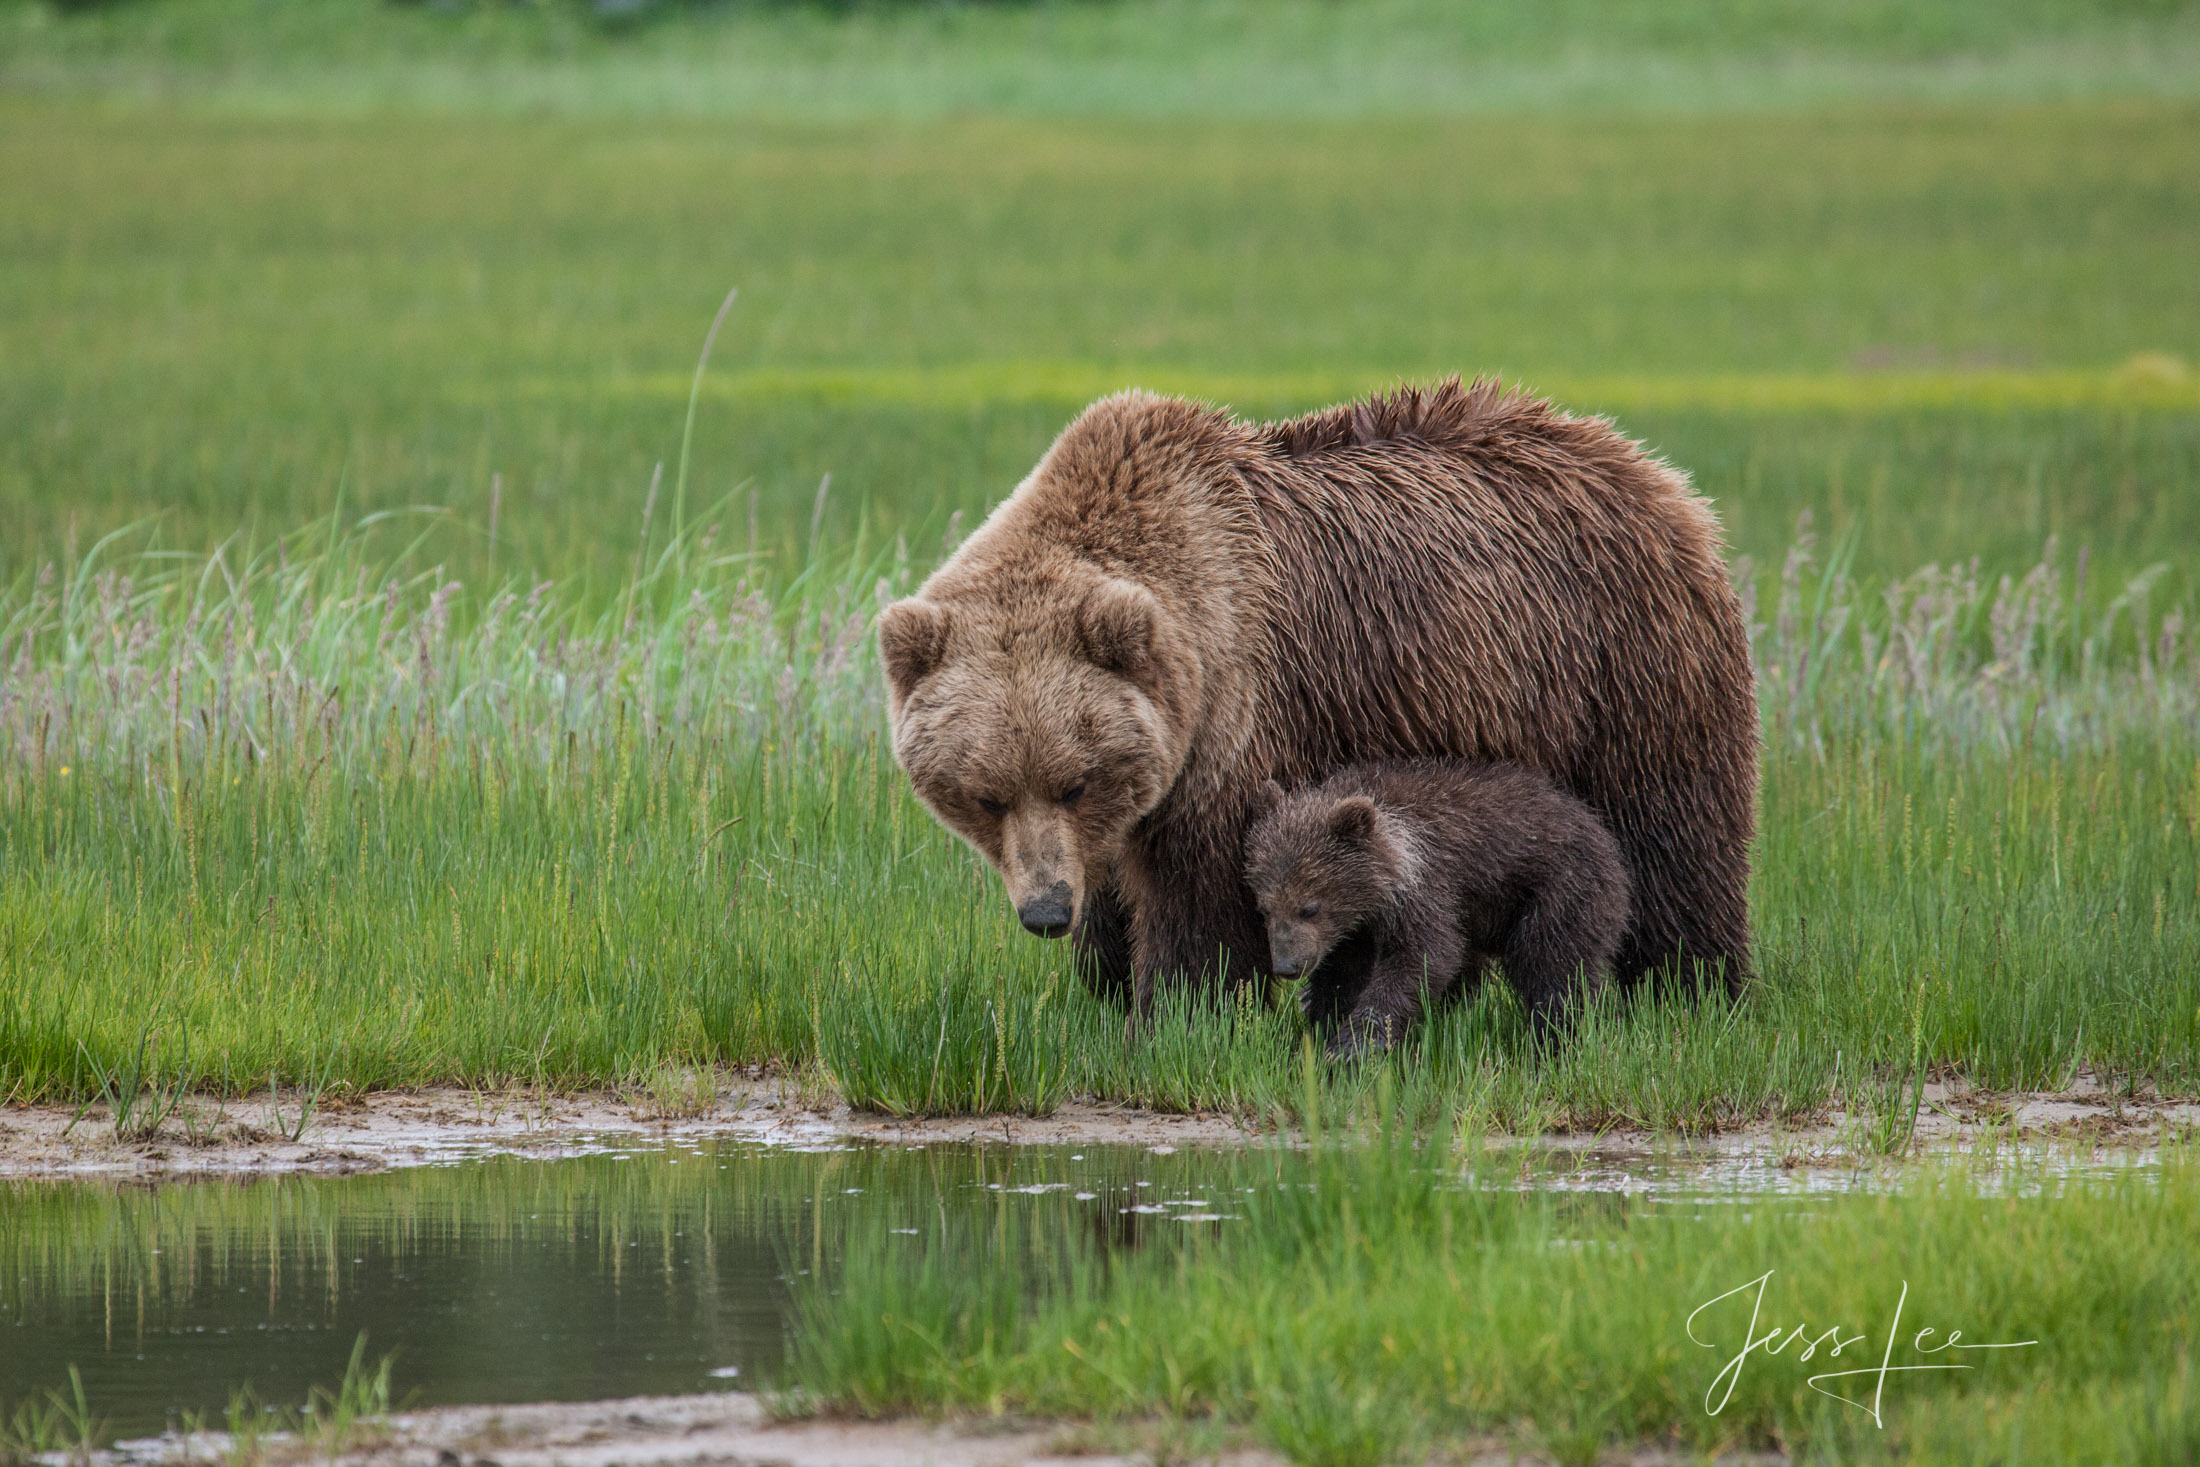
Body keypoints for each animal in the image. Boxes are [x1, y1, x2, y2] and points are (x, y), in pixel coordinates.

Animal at [875, 378, 1751, 1020]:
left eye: (1073, 779)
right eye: (984, 793)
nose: (1045, 912)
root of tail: (1657, 475)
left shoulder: (1241, 712)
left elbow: (1205, 894)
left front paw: (1181, 1009)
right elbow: (1118, 887)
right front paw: (1106, 979)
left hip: (1627, 665)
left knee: (1672, 837)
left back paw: (1692, 990)